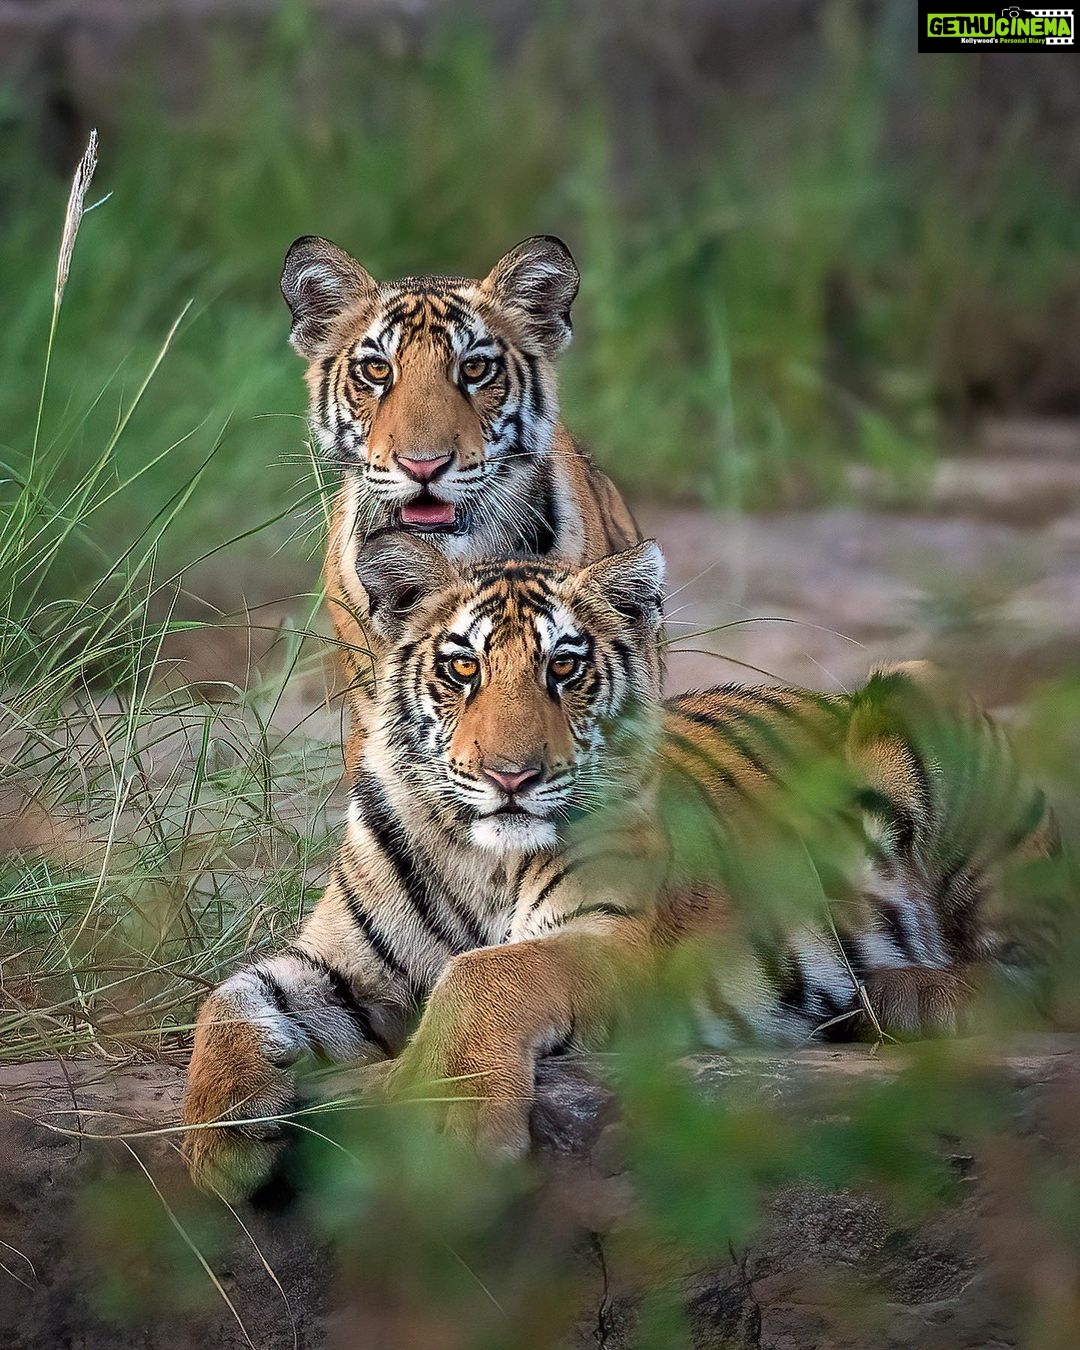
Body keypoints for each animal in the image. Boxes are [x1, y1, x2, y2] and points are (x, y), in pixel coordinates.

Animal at [182, 535, 1058, 1199]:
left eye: (564, 669)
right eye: (463, 668)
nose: (510, 776)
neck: (477, 857)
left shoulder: (618, 942)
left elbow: (486, 971)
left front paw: (445, 1115)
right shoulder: (344, 967)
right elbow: (226, 1001)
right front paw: (221, 1136)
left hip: (916, 691)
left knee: (1041, 970)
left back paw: (907, 993)